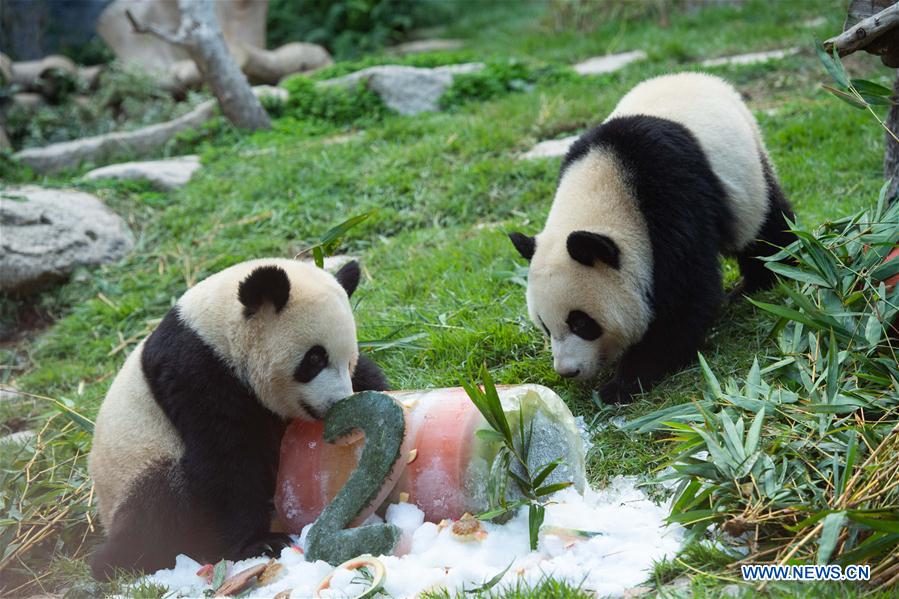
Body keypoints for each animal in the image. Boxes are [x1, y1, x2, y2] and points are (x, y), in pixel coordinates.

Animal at [88, 258, 386, 580]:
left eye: (348, 359)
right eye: (315, 359)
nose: (337, 403)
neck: (217, 333)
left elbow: (368, 375)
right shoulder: (197, 374)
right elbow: (226, 460)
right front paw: (260, 544)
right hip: (138, 466)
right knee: (157, 507)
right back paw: (116, 560)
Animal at [510, 72, 800, 406]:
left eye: (581, 323)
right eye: (544, 325)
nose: (568, 371)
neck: (608, 180)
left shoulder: (671, 193)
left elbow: (687, 293)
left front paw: (623, 381)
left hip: (746, 168)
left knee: (763, 226)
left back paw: (765, 277)